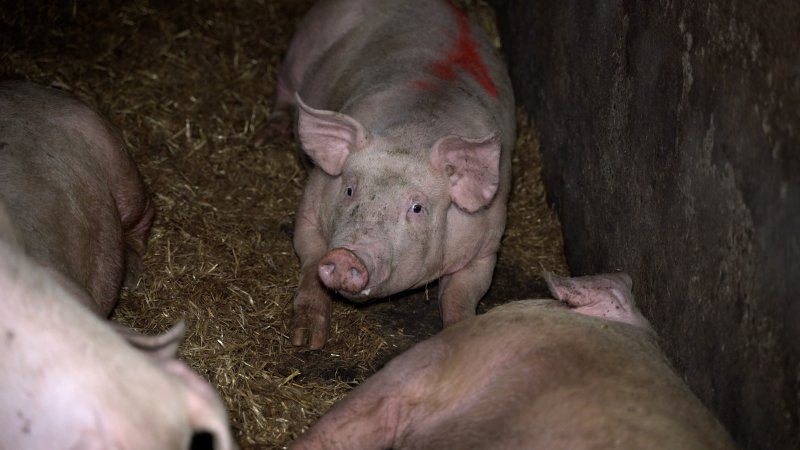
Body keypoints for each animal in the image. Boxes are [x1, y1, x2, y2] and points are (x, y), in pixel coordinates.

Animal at [272, 0, 516, 348]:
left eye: (417, 208)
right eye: (349, 190)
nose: (347, 256)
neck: (412, 134)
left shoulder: (486, 247)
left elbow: (459, 297)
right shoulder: (311, 205)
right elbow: (310, 265)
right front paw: (307, 341)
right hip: (302, 46)